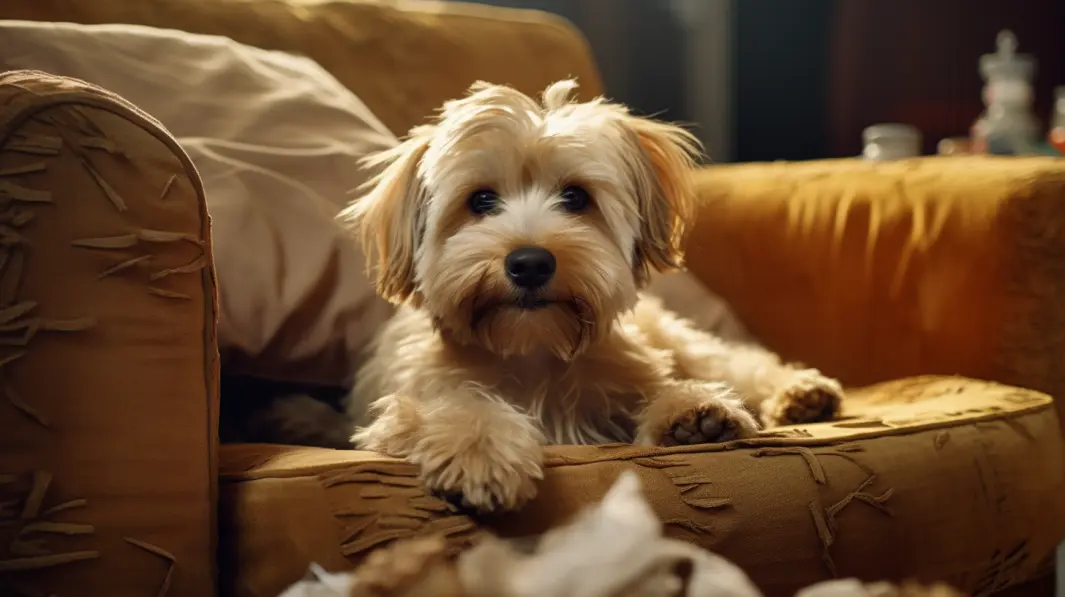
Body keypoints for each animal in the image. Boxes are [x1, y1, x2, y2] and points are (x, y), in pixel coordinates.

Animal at [340, 80, 839, 512]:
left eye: (576, 197)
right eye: (480, 201)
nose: (530, 263)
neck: (532, 349)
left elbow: (664, 390)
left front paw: (690, 413)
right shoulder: (407, 401)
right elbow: (454, 406)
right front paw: (478, 449)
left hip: (678, 342)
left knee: (737, 364)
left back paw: (801, 393)